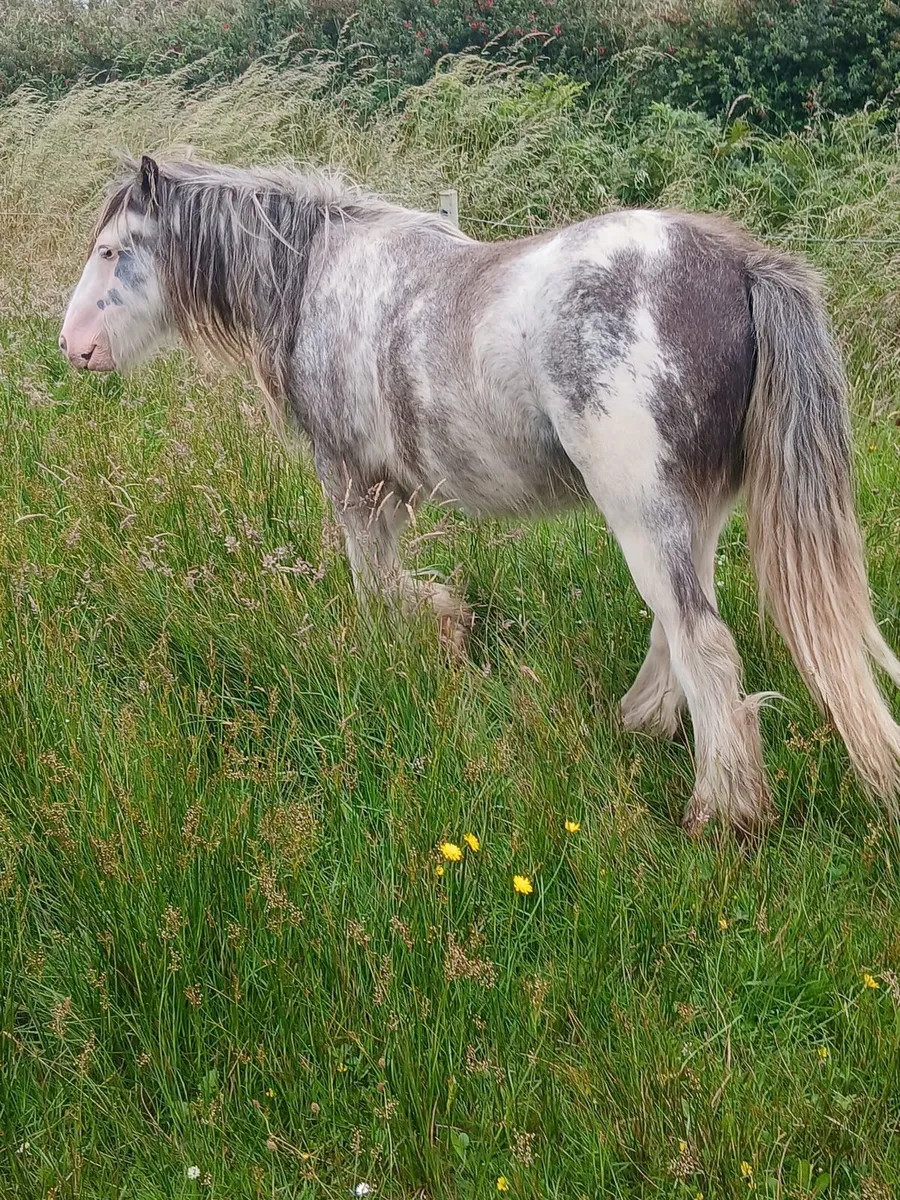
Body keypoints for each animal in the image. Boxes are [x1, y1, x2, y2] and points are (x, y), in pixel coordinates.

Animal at [59, 154, 900, 836]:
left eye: (111, 251)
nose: (73, 346)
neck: (316, 274)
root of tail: (738, 263)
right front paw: (445, 625)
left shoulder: (351, 479)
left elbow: (375, 585)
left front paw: (421, 638)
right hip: (690, 514)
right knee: (680, 626)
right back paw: (641, 724)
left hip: (643, 510)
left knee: (705, 642)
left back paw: (721, 812)